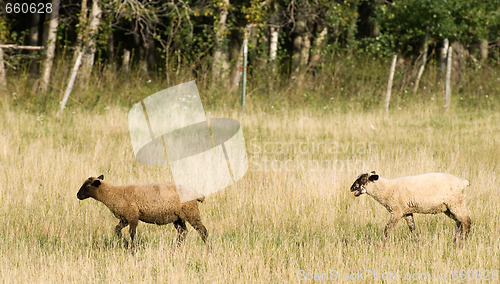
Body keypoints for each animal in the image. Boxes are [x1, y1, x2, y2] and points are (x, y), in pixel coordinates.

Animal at [75, 175, 207, 251]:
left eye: (88, 185)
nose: (77, 195)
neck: (113, 194)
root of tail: (197, 194)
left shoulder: (133, 217)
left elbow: (132, 233)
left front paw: (132, 249)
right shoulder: (125, 218)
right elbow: (117, 230)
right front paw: (126, 244)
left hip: (191, 212)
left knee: (202, 230)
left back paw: (208, 248)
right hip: (178, 217)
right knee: (182, 232)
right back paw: (173, 249)